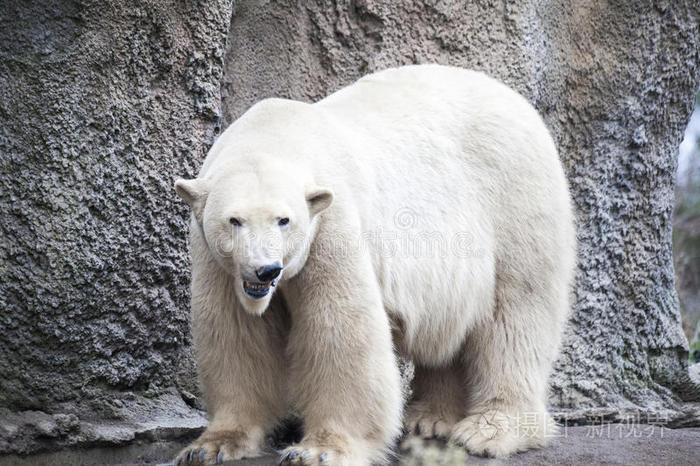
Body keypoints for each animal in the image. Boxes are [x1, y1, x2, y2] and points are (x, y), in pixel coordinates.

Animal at [174, 63, 576, 464]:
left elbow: (340, 329)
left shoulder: (332, 226)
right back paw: (429, 419)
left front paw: (319, 450)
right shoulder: (215, 257)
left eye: (284, 220)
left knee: (517, 316)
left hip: (513, 200)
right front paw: (213, 445)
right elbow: (237, 334)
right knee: (447, 329)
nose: (266, 269)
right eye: (234, 220)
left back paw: (491, 429)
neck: (274, 133)